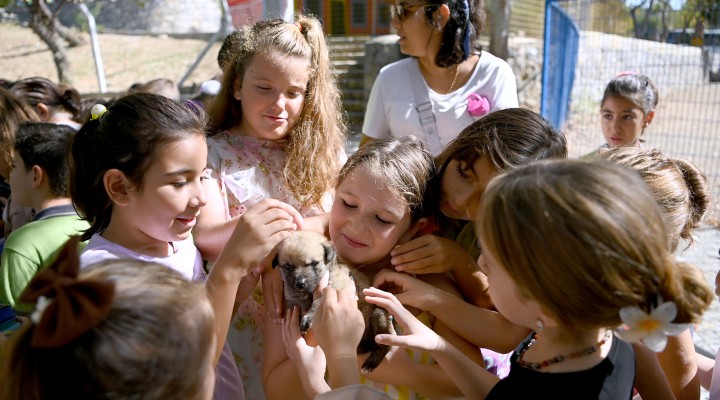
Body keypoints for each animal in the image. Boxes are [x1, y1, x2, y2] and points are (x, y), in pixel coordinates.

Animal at [272, 230, 394, 374]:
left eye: (314, 263)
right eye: (288, 266)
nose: (300, 283)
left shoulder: (337, 287)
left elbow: (318, 301)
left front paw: (308, 318)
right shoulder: (293, 300)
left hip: (378, 315)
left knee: (383, 346)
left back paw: (370, 363)